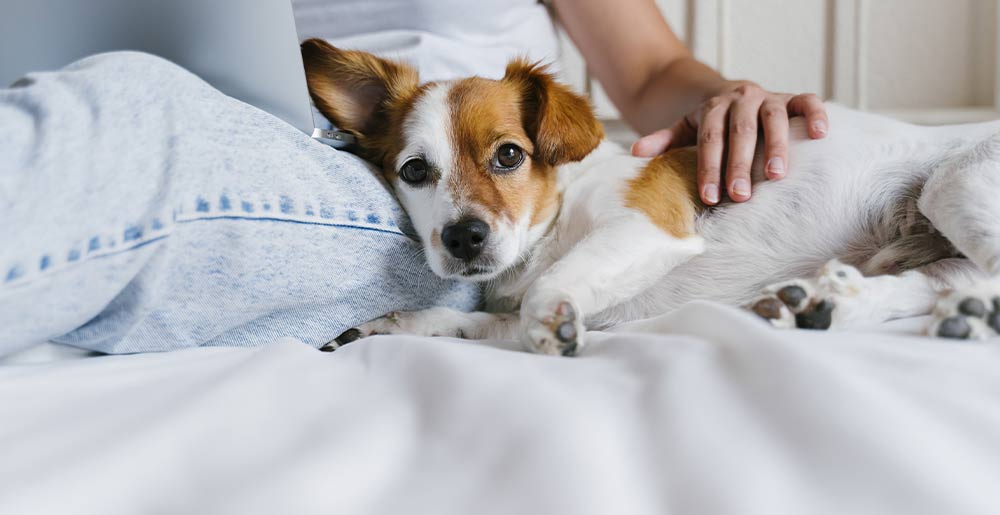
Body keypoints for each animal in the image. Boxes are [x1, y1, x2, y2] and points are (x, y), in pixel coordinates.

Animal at [300, 40, 1000, 356]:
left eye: (509, 155)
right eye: (415, 170)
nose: (463, 238)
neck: (554, 220)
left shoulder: (646, 230)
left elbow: (549, 291)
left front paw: (552, 324)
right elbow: (469, 323)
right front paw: (393, 324)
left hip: (956, 183)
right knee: (944, 280)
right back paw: (834, 306)